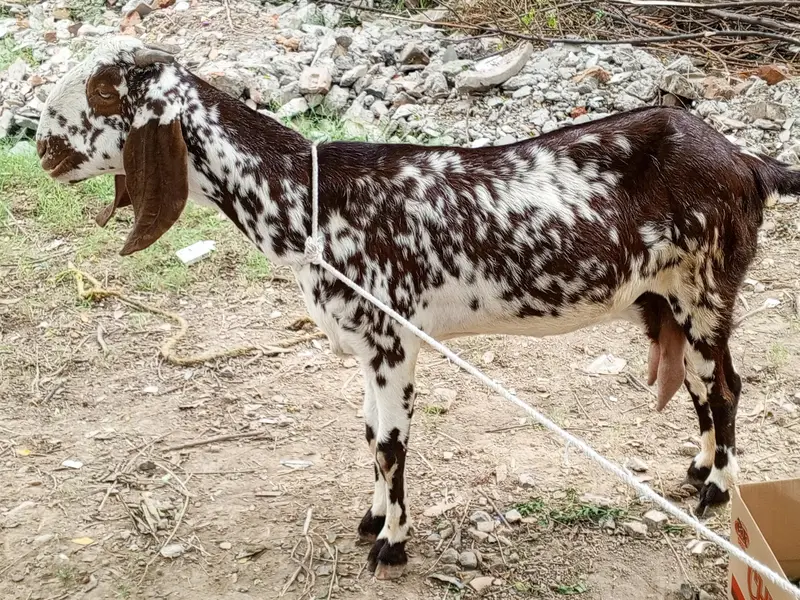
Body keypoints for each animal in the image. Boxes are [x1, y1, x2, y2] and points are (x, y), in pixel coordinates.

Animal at [36, 36, 800, 579]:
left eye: (97, 95)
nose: (43, 151)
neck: (309, 198)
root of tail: (749, 163)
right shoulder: (364, 347)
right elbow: (369, 434)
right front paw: (371, 521)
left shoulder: (391, 339)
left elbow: (391, 443)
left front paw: (393, 545)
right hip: (668, 299)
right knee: (709, 384)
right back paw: (701, 468)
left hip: (703, 291)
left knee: (723, 386)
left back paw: (717, 492)